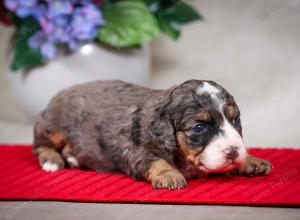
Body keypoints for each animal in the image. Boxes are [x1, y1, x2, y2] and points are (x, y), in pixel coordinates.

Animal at [33, 79, 272, 189]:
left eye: (236, 120)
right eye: (199, 127)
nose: (233, 152)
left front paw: (250, 160)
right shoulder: (133, 149)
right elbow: (154, 159)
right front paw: (169, 175)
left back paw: (73, 157)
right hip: (51, 126)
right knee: (41, 145)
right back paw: (52, 160)